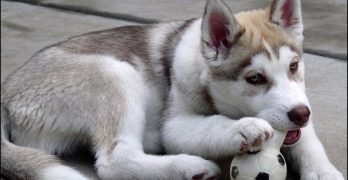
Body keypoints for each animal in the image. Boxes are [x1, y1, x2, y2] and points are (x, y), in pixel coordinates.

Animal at [0, 0, 344, 179]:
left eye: (294, 67)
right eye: (255, 79)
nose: (300, 114)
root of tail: (6, 91)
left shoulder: (301, 102)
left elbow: (307, 142)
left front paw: (323, 172)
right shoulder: (175, 124)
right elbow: (213, 125)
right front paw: (243, 128)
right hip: (116, 72)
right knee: (114, 162)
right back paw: (190, 166)